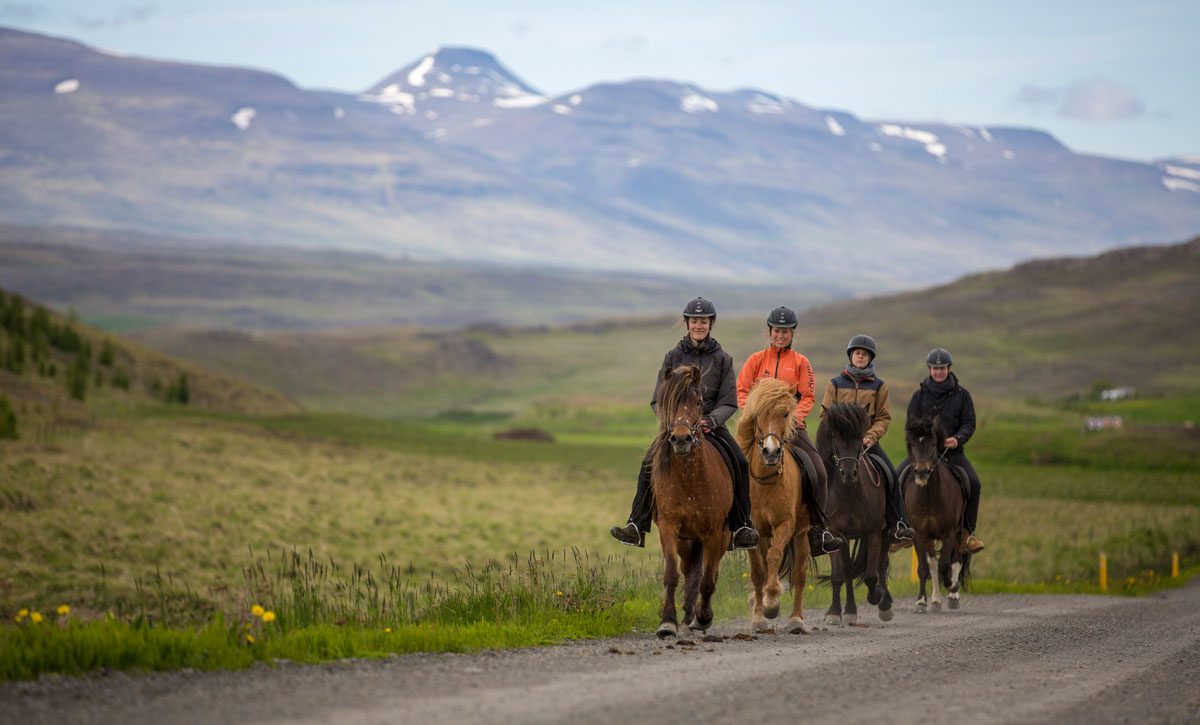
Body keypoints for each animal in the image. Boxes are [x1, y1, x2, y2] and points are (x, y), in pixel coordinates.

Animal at [652, 364, 734, 638]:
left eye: (698, 402)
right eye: (668, 402)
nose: (680, 439)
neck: (690, 479)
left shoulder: (714, 532)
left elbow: (707, 580)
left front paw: (704, 617)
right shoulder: (669, 527)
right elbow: (672, 574)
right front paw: (668, 621)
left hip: (721, 538)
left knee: (709, 573)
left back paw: (697, 617)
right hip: (686, 541)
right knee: (689, 572)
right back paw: (687, 615)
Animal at [729, 376, 816, 633]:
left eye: (786, 414)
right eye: (758, 414)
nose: (770, 451)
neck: (766, 482)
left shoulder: (785, 525)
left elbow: (775, 557)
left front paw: (771, 602)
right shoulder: (754, 530)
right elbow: (759, 571)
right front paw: (759, 616)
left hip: (802, 533)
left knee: (799, 574)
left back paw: (796, 620)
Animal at [816, 403, 892, 624]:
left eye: (860, 435)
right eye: (834, 436)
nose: (849, 473)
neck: (849, 492)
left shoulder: (873, 532)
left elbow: (871, 576)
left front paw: (877, 596)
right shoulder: (835, 534)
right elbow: (838, 575)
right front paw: (834, 612)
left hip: (885, 533)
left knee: (881, 564)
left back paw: (885, 603)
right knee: (849, 570)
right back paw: (850, 610)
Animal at [902, 412, 969, 612]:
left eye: (933, 444)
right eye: (912, 443)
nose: (922, 472)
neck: (929, 496)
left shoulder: (949, 533)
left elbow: (945, 564)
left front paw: (951, 585)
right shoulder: (919, 534)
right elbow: (924, 568)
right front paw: (920, 601)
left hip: (959, 534)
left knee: (957, 559)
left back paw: (953, 595)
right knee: (932, 563)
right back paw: (936, 599)